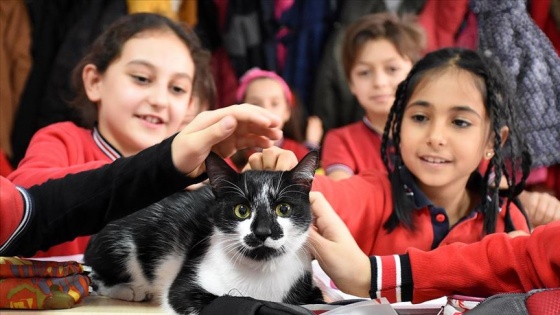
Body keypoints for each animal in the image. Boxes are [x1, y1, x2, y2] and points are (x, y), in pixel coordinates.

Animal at [81, 152, 322, 314]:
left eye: (284, 209)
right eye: (241, 210)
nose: (263, 231)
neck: (260, 271)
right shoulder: (184, 287)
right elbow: (204, 301)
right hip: (122, 245)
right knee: (96, 277)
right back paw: (130, 289)